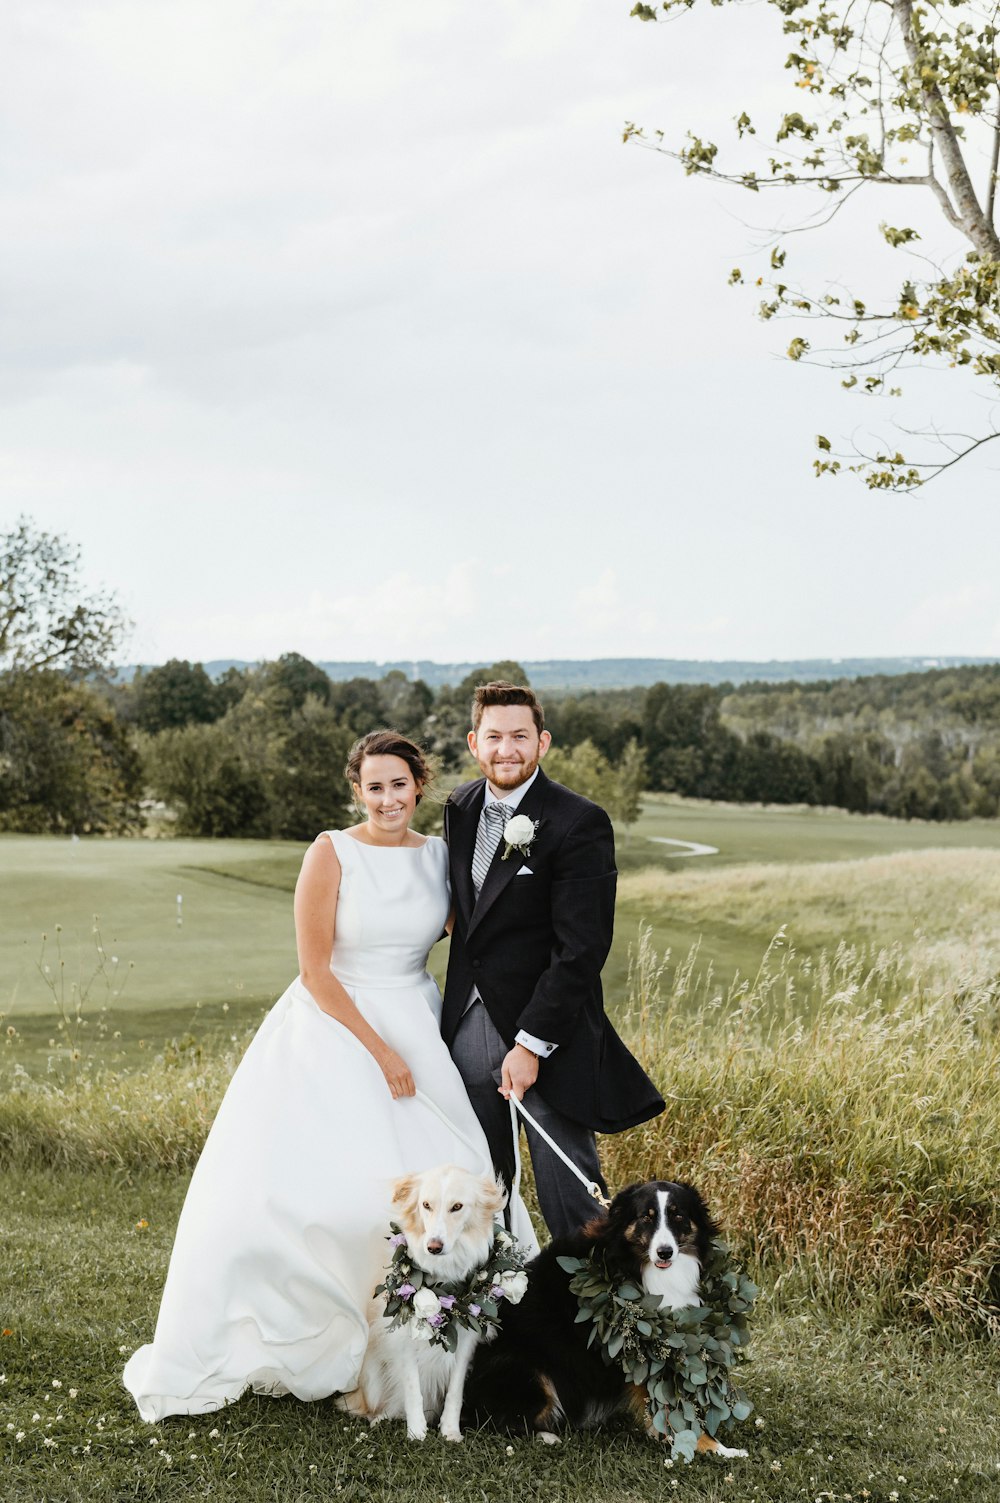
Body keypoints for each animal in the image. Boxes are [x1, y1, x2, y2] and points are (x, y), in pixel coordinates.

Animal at [339, 1160, 502, 1442]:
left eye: (457, 1207)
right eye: (426, 1205)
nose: (433, 1247)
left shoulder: (466, 1341)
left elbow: (455, 1392)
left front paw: (450, 1431)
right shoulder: (404, 1337)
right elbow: (412, 1389)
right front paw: (416, 1433)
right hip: (371, 1374)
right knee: (380, 1405)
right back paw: (380, 1419)